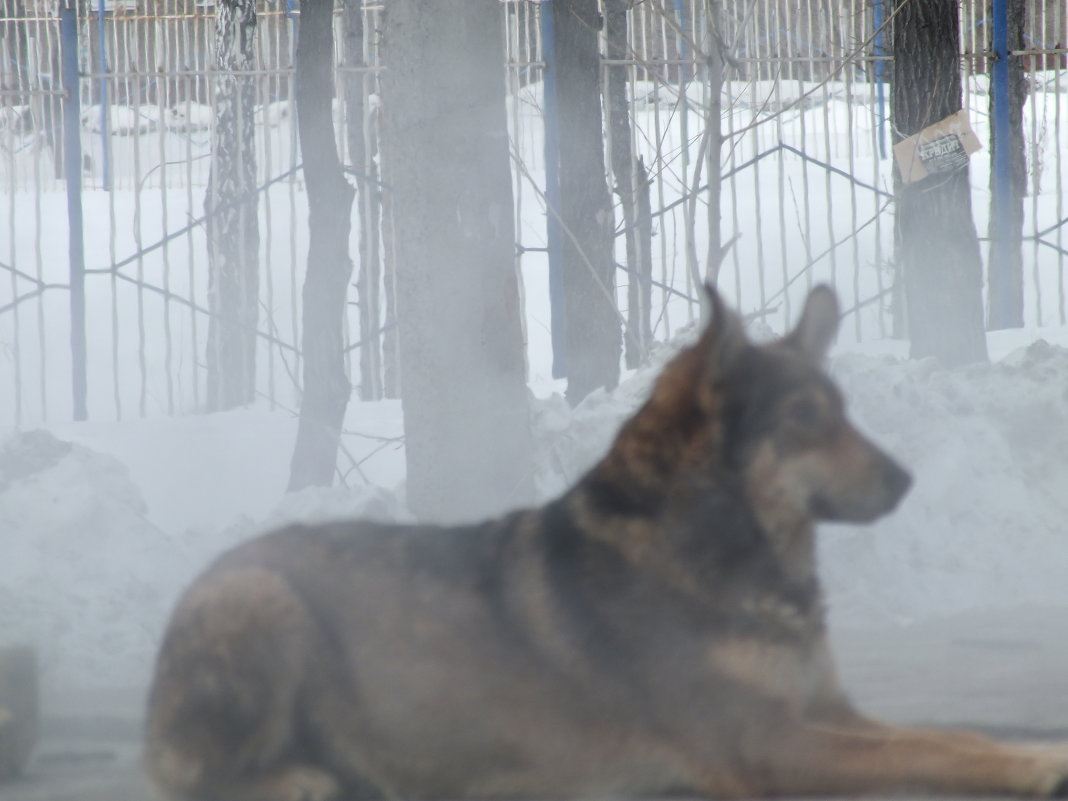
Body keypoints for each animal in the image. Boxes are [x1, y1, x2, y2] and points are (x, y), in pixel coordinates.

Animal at [144, 286, 1068, 798]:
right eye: (807, 420)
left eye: (845, 411)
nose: (908, 481)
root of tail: (201, 581)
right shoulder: (771, 744)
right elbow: (927, 750)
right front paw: (1035, 767)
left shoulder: (827, 710)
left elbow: (954, 736)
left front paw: (1030, 749)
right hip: (261, 601)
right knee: (187, 777)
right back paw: (297, 778)